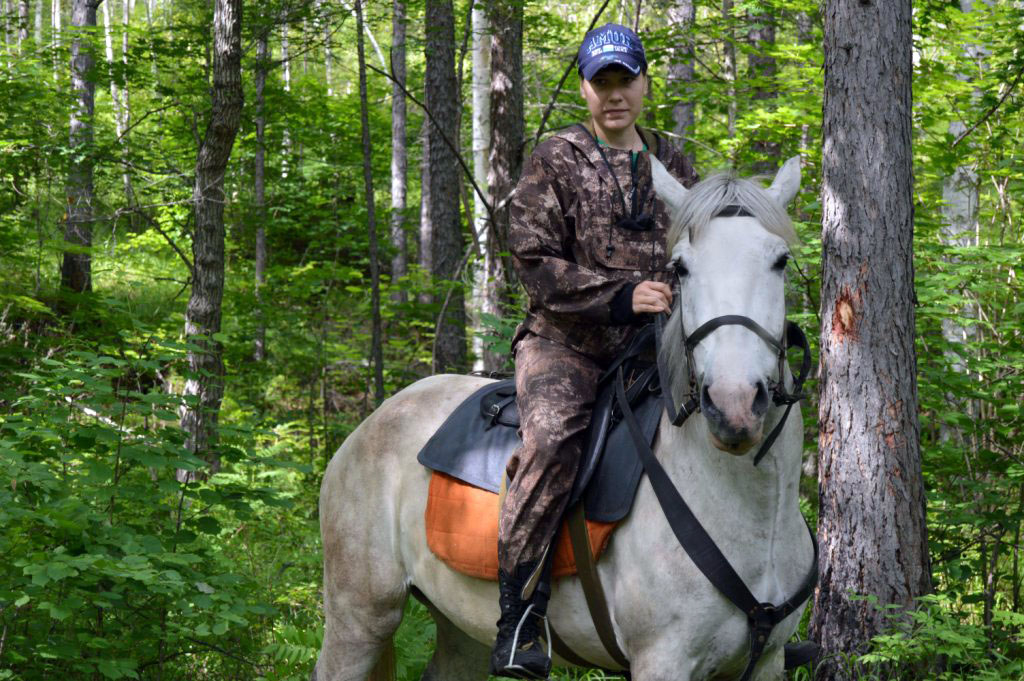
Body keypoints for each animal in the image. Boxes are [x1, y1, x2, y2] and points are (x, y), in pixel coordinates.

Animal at [311, 156, 815, 679]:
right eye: (681, 268)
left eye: (780, 261)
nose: (734, 404)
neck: (749, 513)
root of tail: (374, 420)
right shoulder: (663, 660)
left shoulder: (768, 660)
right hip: (360, 615)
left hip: (459, 628)